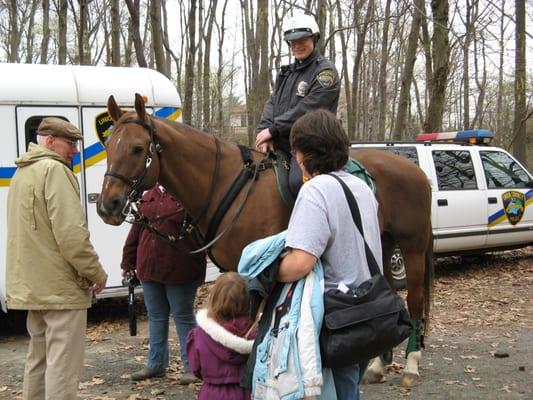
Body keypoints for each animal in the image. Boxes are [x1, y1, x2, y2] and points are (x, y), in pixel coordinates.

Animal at [97, 95, 432, 386]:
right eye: (108, 145)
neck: (228, 185)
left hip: (413, 247)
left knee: (414, 300)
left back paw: (412, 365)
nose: (107, 206)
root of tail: (414, 170)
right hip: (381, 243)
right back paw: (377, 365)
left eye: (137, 148)